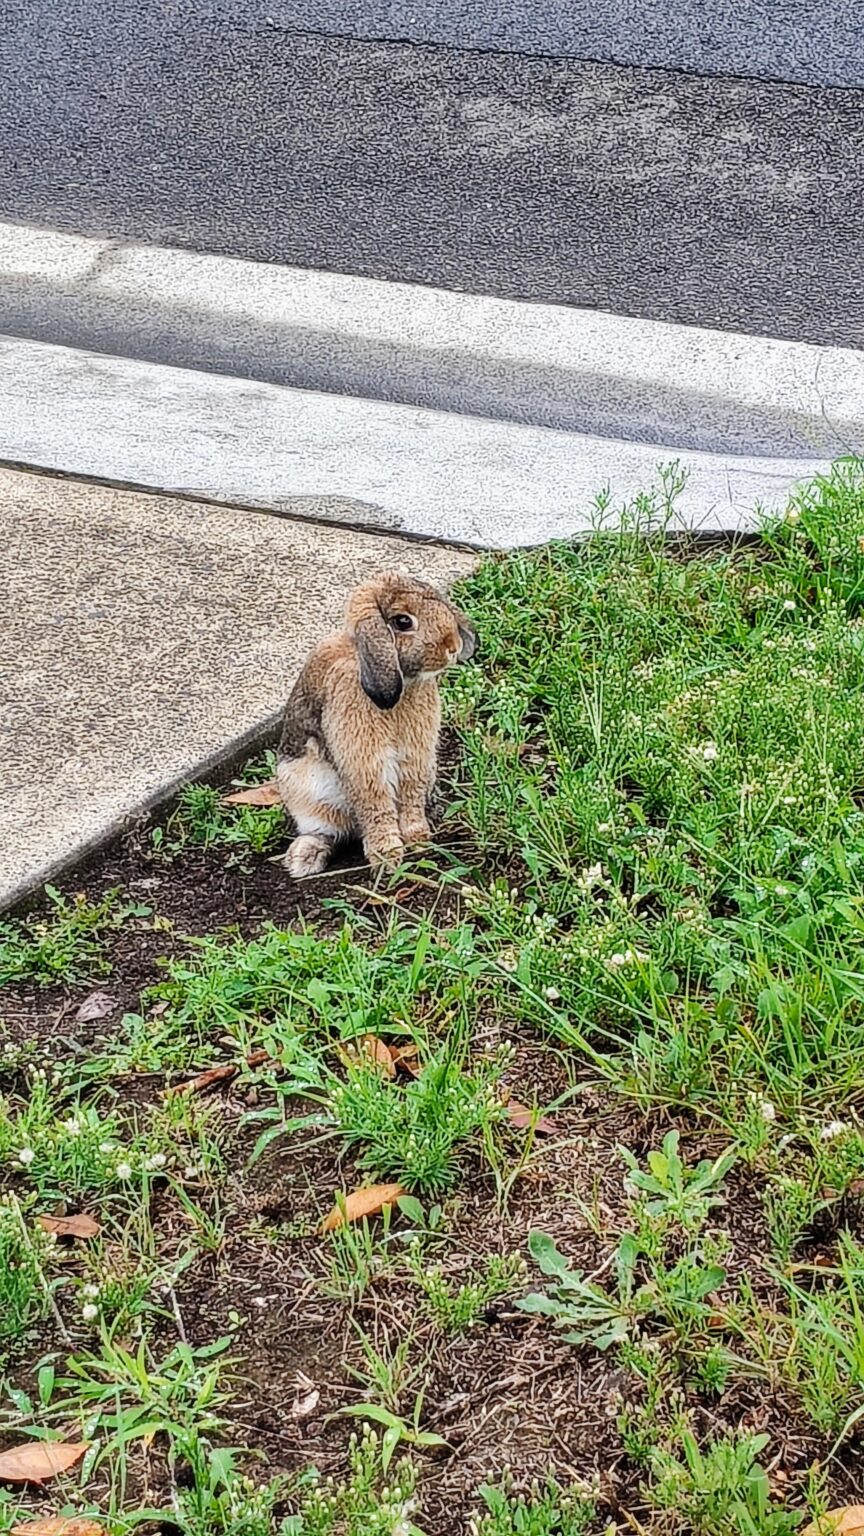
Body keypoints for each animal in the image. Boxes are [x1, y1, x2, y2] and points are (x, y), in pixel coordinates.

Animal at [277, 571, 476, 879]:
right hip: (306, 796)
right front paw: (387, 858)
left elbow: (409, 798)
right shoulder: (364, 764)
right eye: (403, 621)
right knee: (330, 831)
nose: (452, 647)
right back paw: (304, 859)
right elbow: (376, 805)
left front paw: (418, 841)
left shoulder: (415, 759)